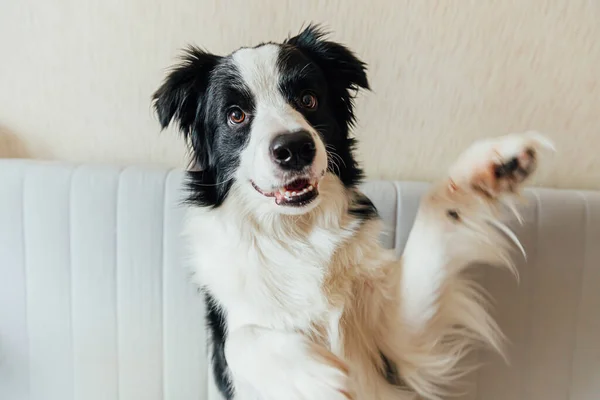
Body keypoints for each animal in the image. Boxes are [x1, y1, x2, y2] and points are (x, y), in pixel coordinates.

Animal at [154, 25, 552, 400]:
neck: (297, 234)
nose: (294, 148)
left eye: (308, 99)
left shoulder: (398, 338)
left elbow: (436, 215)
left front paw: (489, 168)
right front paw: (312, 375)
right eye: (236, 115)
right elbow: (239, 340)